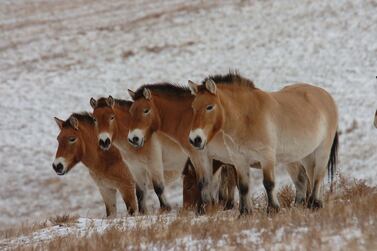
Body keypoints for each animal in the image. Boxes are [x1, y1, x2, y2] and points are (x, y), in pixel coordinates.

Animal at [127, 82, 312, 212]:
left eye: (145, 110)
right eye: (131, 111)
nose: (133, 138)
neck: (186, 118)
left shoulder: (200, 156)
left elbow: (204, 183)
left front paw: (204, 210)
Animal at [188, 72, 338, 214]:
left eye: (209, 107)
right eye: (193, 107)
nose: (195, 139)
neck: (246, 117)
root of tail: (326, 96)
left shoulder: (266, 157)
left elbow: (268, 183)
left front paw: (272, 209)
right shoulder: (239, 160)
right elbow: (243, 186)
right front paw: (245, 213)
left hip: (323, 150)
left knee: (318, 176)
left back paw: (314, 203)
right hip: (306, 155)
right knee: (310, 176)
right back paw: (311, 204)